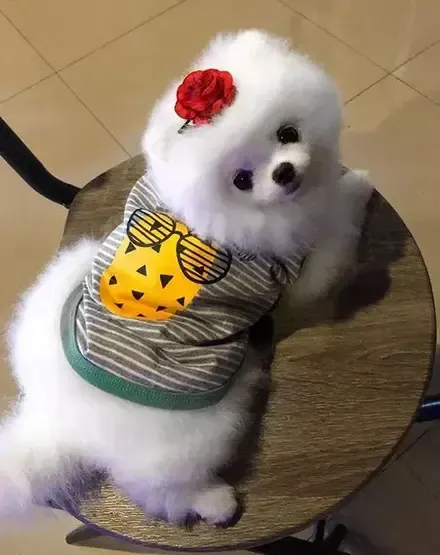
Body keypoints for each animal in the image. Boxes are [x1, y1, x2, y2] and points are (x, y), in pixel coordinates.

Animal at [0, 30, 373, 525]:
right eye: (241, 180)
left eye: (287, 133)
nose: (285, 171)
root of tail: (59, 420)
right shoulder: (294, 276)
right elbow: (336, 231)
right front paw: (358, 186)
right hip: (198, 427)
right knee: (162, 491)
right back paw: (214, 502)